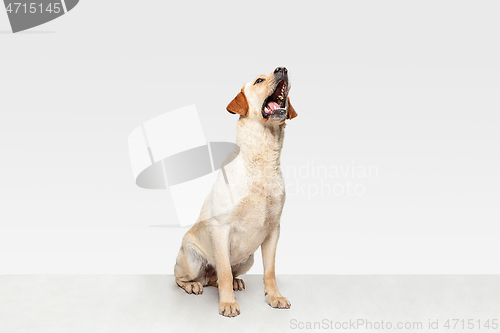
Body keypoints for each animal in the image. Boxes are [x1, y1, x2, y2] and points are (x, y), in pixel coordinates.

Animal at [173, 65, 296, 316]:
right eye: (259, 80)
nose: (282, 68)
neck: (262, 160)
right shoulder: (221, 228)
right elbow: (224, 270)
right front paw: (227, 303)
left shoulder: (273, 230)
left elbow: (270, 271)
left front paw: (274, 297)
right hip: (192, 260)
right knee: (185, 277)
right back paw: (192, 285)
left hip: (247, 259)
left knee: (217, 279)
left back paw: (234, 282)